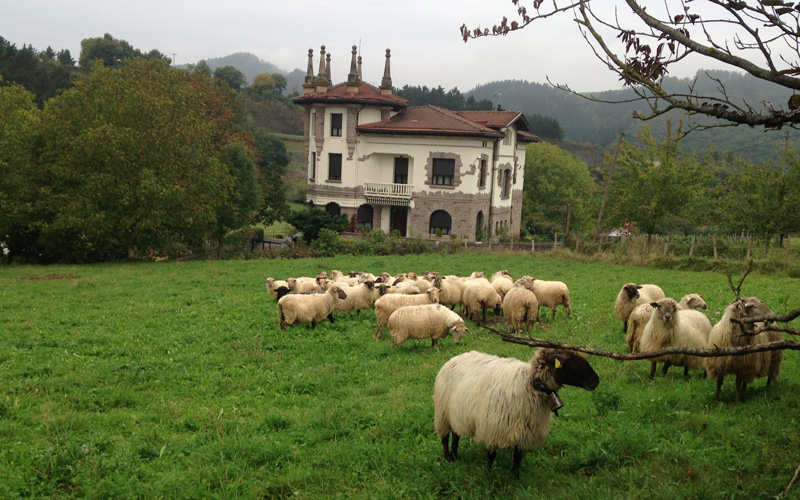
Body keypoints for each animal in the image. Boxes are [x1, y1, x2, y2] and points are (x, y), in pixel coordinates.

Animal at [434, 348, 596, 476]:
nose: (596, 380)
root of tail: (456, 357)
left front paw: (515, 477)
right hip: (442, 413)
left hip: (457, 414)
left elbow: (517, 457)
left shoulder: (523, 429)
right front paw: (489, 474)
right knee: (445, 437)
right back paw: (447, 458)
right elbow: (491, 456)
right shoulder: (492, 428)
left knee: (456, 435)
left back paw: (454, 457)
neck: (530, 385)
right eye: (570, 363)